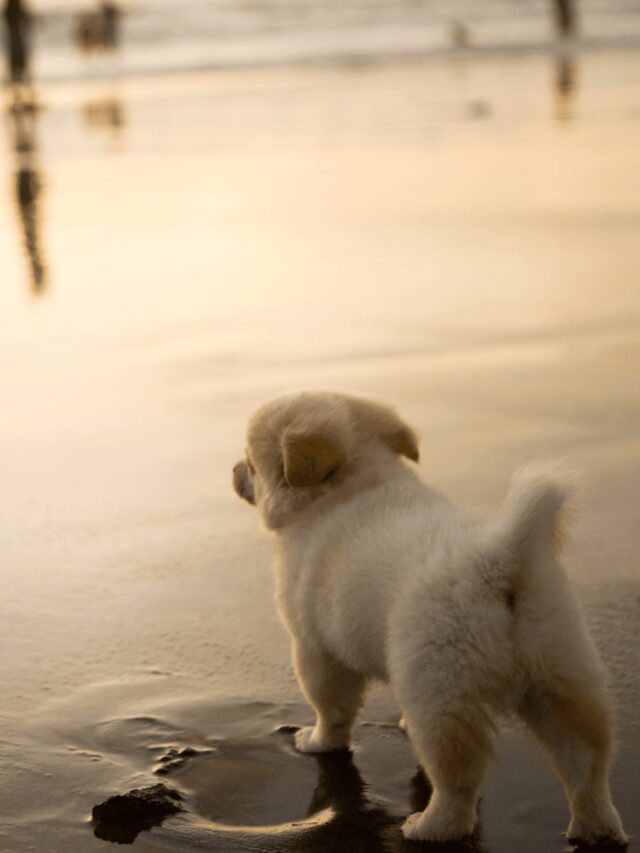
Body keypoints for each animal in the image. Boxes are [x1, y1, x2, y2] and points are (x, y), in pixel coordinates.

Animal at [232, 390, 628, 844]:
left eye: (250, 462)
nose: (233, 470)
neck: (354, 484)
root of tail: (499, 561)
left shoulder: (315, 649)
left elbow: (330, 708)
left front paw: (316, 741)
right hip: (563, 676)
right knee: (586, 764)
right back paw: (596, 828)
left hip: (440, 689)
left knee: (457, 779)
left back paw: (428, 827)